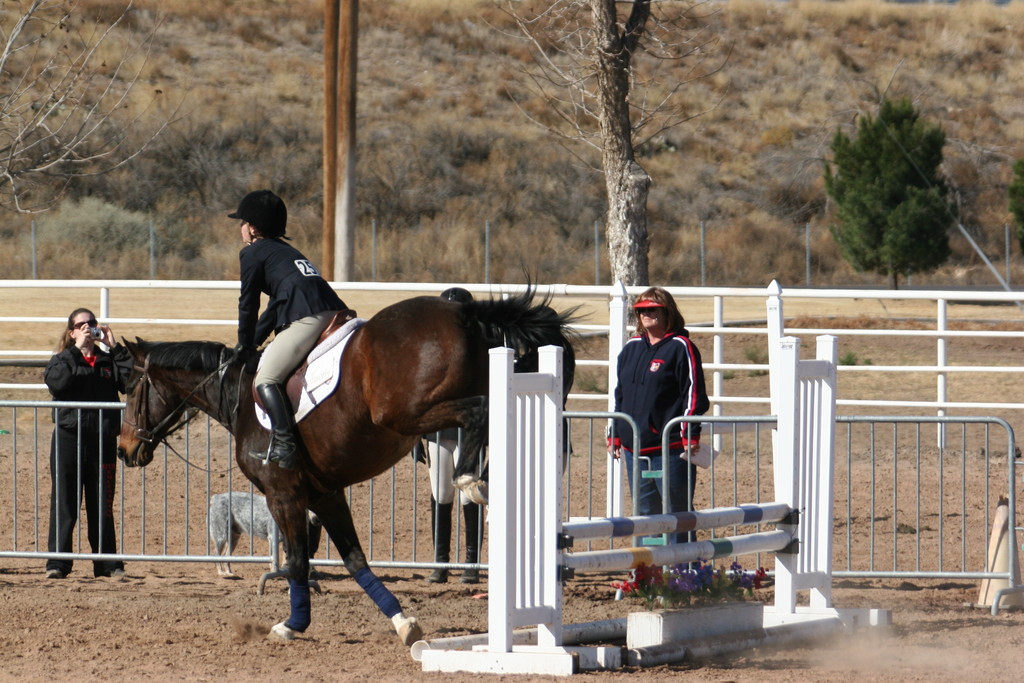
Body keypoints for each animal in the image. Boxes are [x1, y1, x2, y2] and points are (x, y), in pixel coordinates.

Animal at [117, 290, 577, 643]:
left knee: (478, 411)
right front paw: (403, 623)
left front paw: (291, 625)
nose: (123, 450)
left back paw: (470, 480)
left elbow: (298, 562)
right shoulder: (325, 494)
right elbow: (356, 561)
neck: (240, 397)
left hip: (407, 414)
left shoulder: (285, 493)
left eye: (130, 387)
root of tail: (460, 312)